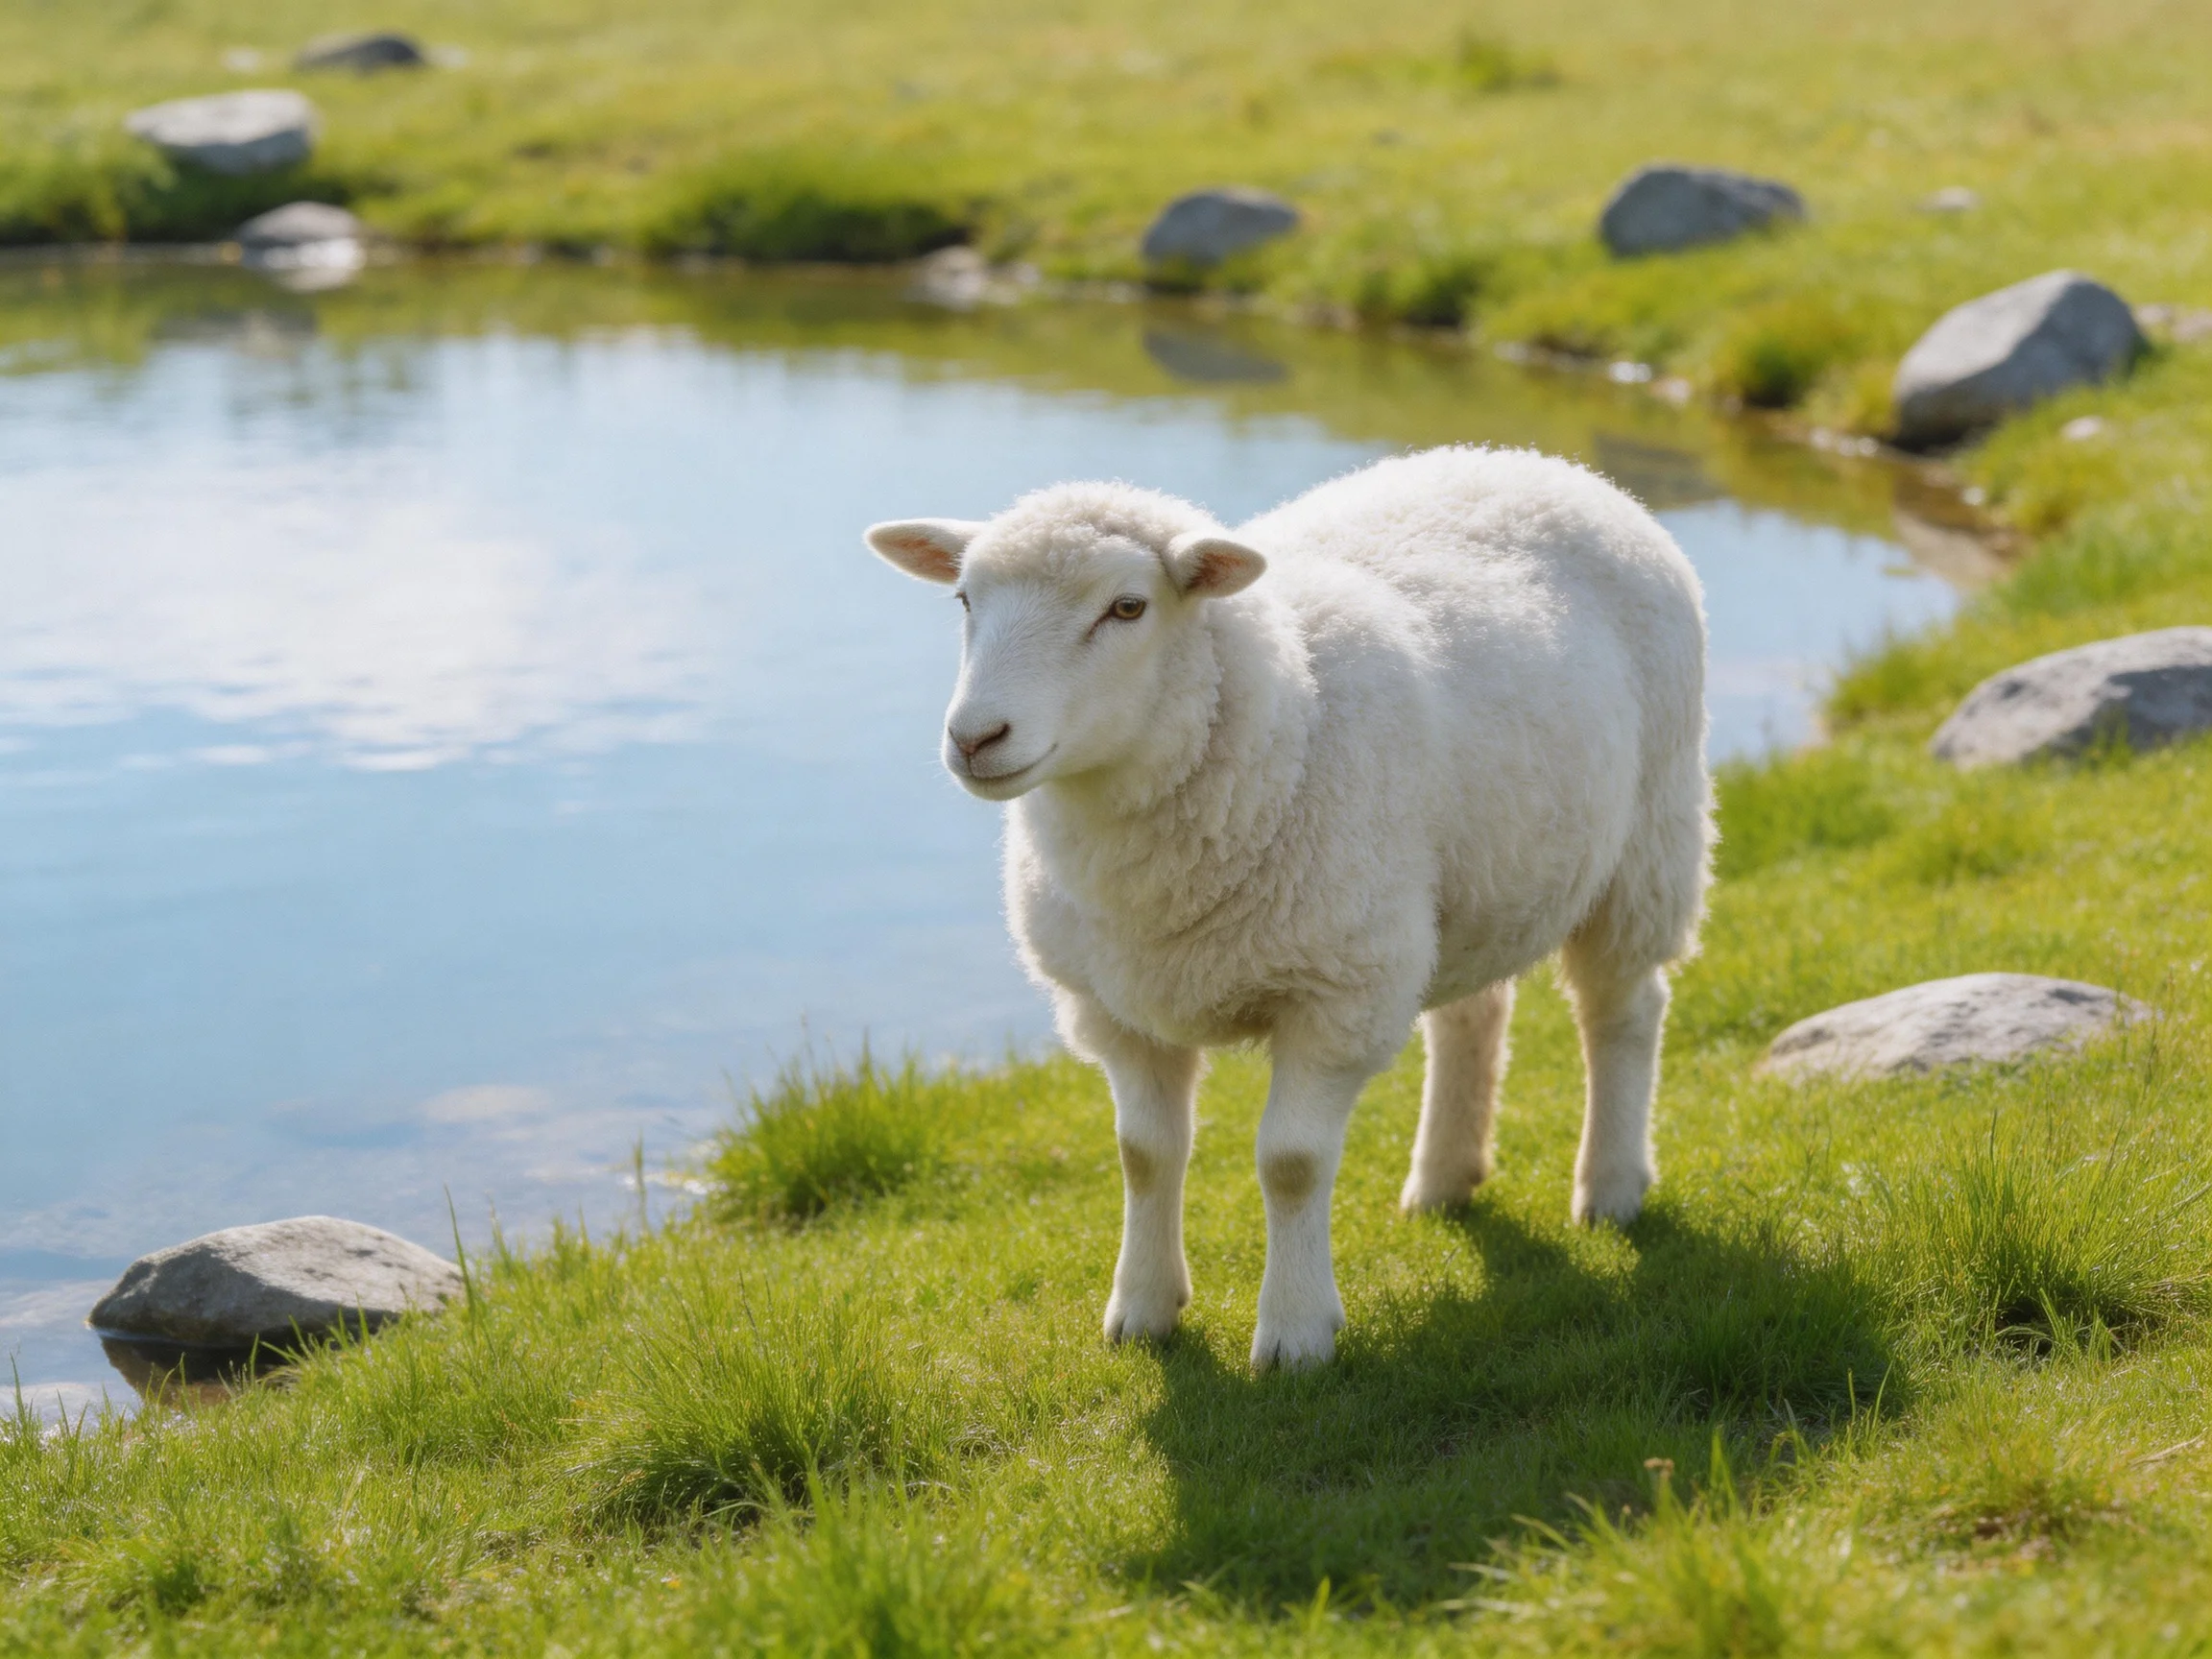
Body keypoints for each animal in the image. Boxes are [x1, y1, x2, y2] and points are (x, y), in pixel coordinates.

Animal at [865, 445, 1710, 1369]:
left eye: (1127, 607)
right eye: (964, 600)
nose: (975, 738)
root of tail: (1546, 464)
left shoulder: (1335, 991)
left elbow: (1293, 1162)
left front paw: (1296, 1332)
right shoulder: (1115, 1006)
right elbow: (1144, 1155)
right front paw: (1143, 1310)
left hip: (1647, 839)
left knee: (1623, 1012)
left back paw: (1611, 1186)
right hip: (1465, 888)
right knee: (1472, 1014)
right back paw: (1444, 1179)